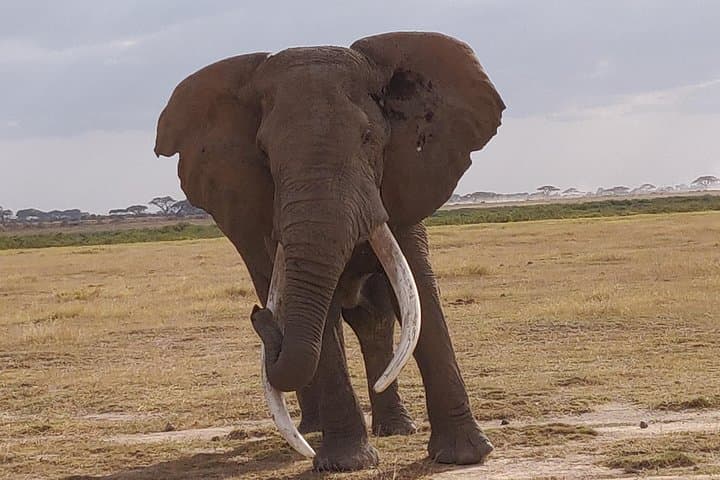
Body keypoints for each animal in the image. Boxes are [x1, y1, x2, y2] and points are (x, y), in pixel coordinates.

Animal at [154, 31, 504, 471]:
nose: (257, 316)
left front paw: (464, 457)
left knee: (375, 320)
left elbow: (419, 291)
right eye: (264, 153)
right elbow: (322, 312)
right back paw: (314, 430)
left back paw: (395, 428)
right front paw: (346, 464)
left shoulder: (403, 180)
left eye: (369, 139)